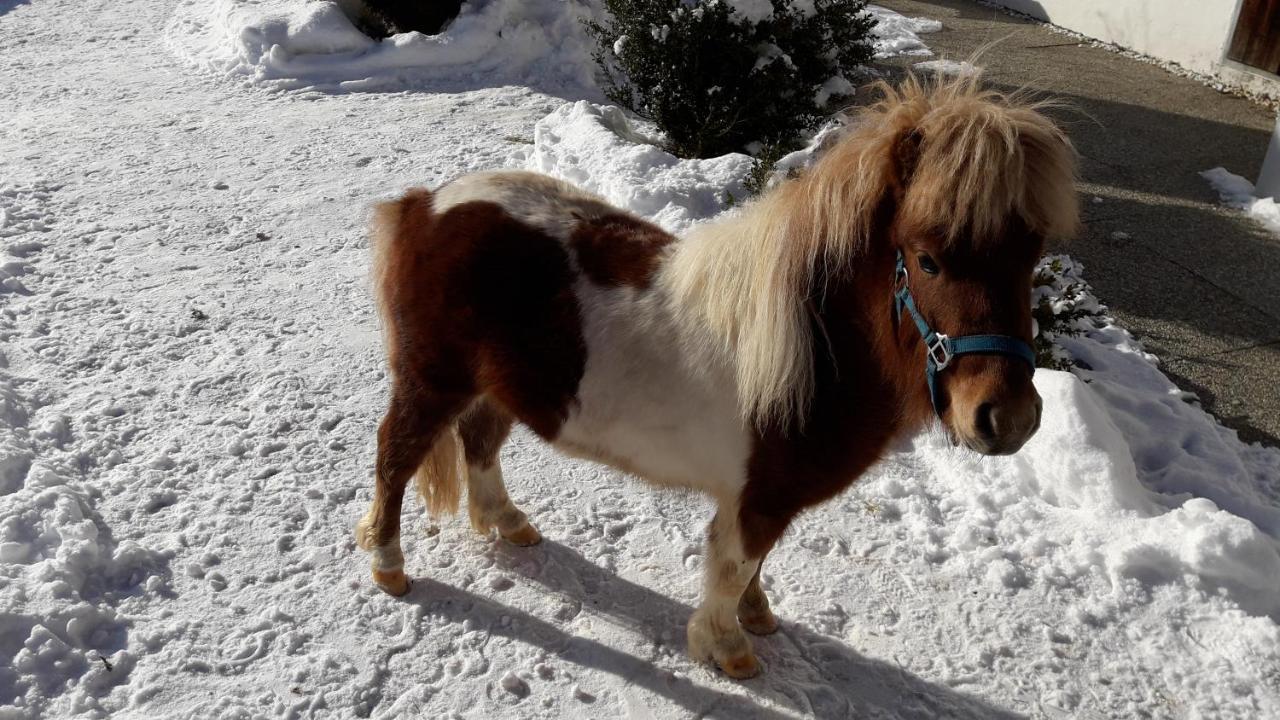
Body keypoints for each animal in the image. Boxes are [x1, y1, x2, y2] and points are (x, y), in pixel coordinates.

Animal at [353, 75, 1080, 676]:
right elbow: (733, 566)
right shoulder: (757, 500)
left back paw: (507, 523)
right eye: (928, 260)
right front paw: (728, 648)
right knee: (395, 457)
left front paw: (758, 617)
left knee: (478, 443)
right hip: (431, 381)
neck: (812, 348)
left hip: (492, 386)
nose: (1007, 418)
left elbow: (755, 564)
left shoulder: (764, 499)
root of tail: (428, 203)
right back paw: (389, 567)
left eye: (1030, 258)